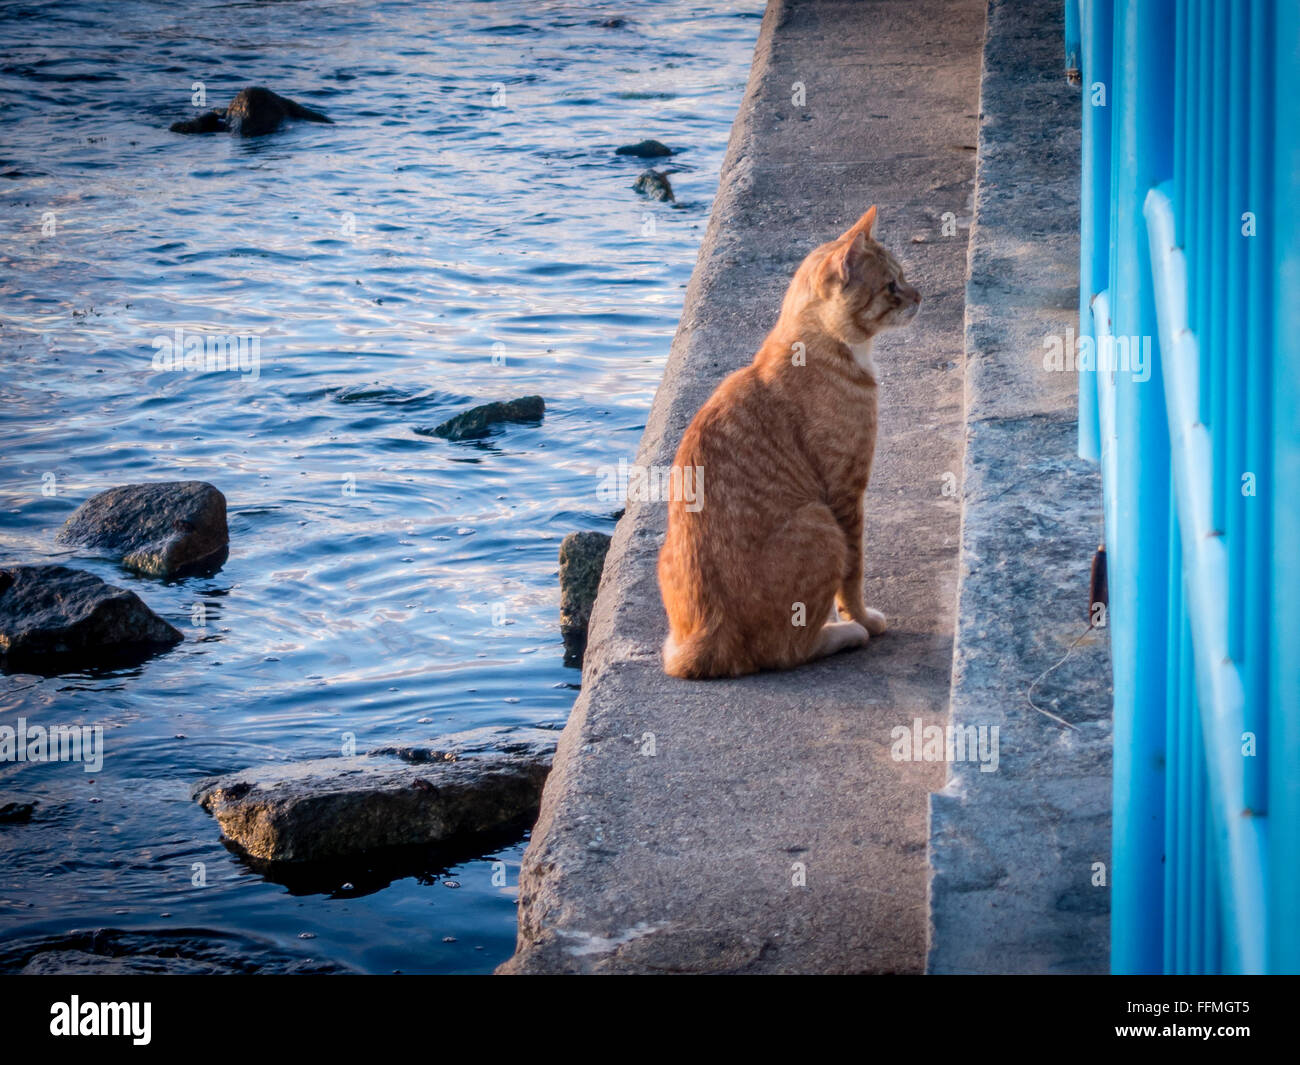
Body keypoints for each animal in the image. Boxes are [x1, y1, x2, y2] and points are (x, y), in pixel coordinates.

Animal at [655, 204, 920, 681]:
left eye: (903, 278)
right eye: (892, 285)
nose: (919, 295)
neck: (819, 345)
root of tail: (707, 643)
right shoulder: (846, 494)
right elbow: (853, 576)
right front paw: (861, 617)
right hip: (820, 523)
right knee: (788, 649)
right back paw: (845, 633)